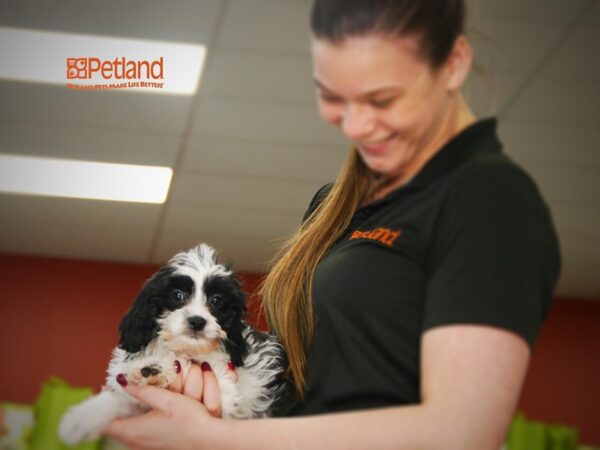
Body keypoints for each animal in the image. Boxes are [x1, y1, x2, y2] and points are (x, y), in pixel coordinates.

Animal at [59, 244, 288, 444]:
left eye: (216, 300)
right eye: (177, 295)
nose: (197, 321)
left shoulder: (226, 392)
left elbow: (186, 363)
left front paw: (156, 367)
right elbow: (120, 399)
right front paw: (81, 419)